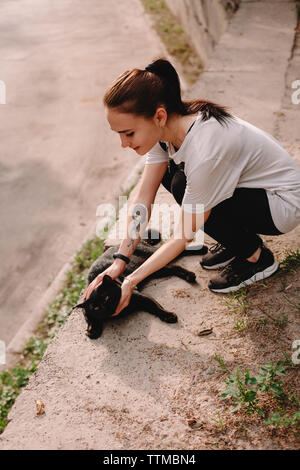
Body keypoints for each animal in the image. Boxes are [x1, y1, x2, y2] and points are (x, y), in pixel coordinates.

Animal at [74, 234, 207, 338]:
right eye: (95, 307)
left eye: (107, 297)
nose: (106, 308)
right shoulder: (86, 309)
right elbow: (89, 317)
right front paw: (93, 330)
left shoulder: (139, 296)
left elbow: (155, 305)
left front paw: (168, 315)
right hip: (154, 269)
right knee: (172, 267)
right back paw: (189, 276)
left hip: (153, 255)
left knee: (178, 252)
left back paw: (201, 252)